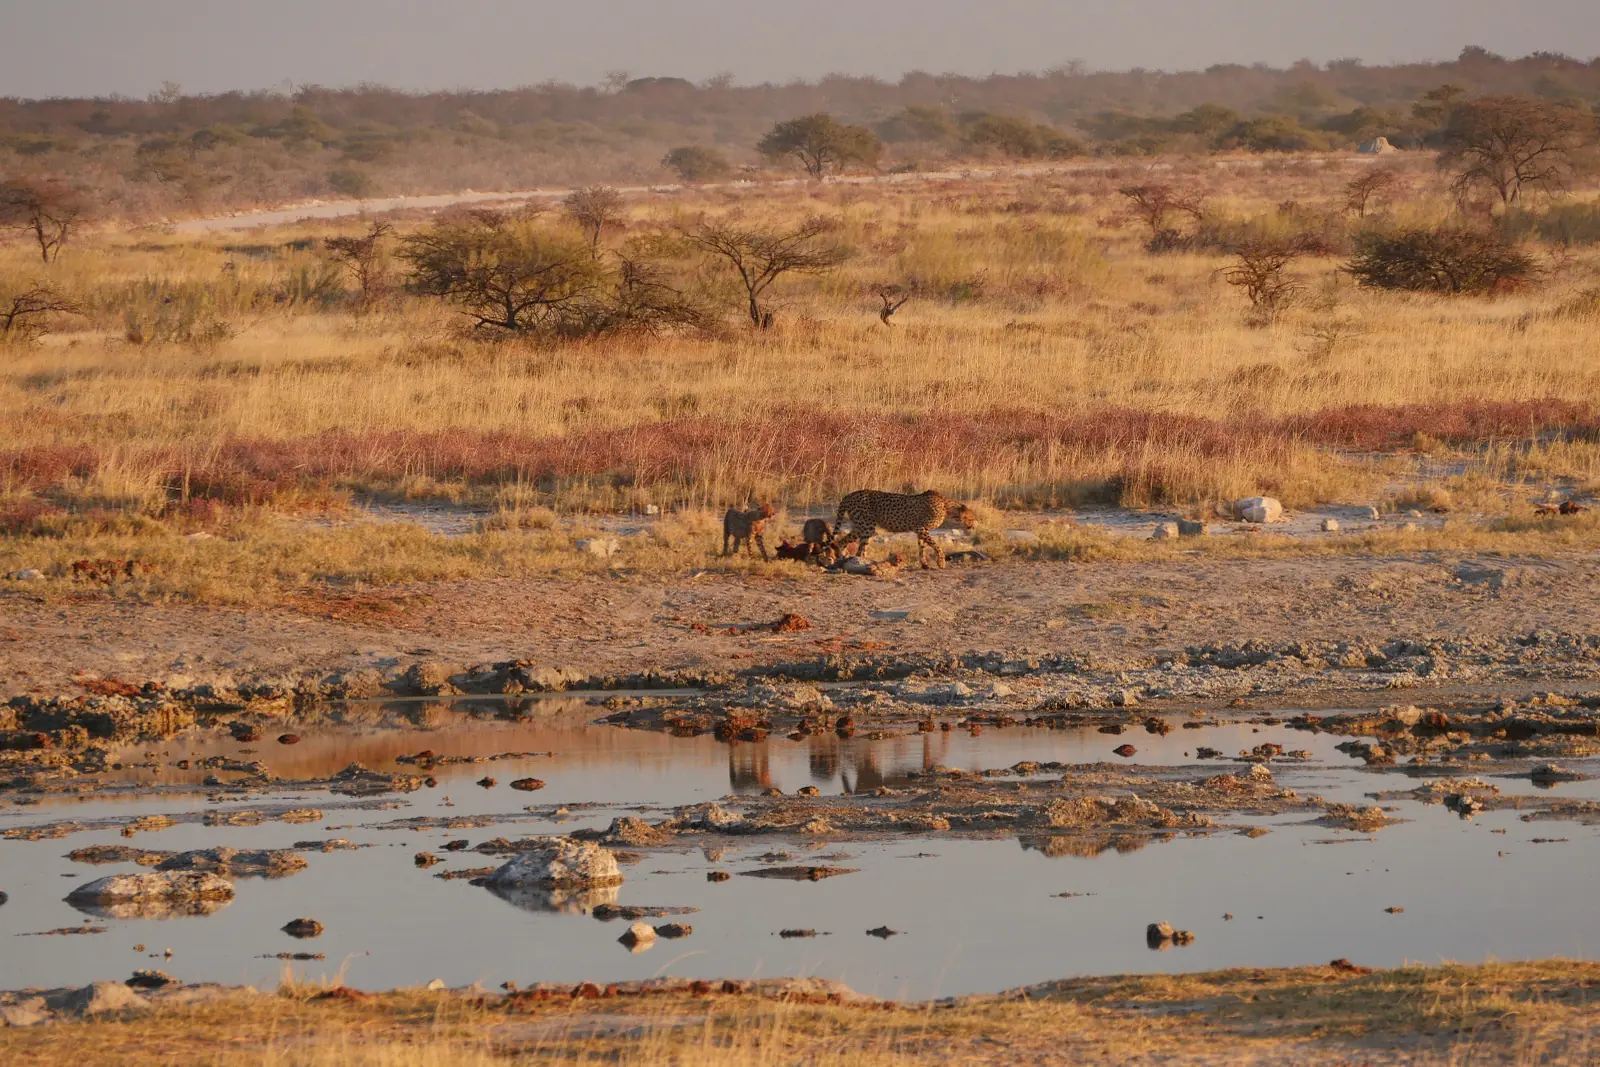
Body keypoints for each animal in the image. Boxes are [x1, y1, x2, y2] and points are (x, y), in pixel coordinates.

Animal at [833, 489, 973, 569]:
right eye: (970, 518)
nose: (972, 526)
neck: (946, 506)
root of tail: (849, 495)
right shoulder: (921, 528)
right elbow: (937, 546)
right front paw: (941, 562)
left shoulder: (920, 530)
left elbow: (922, 547)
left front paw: (925, 565)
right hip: (867, 526)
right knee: (854, 547)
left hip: (861, 526)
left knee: (845, 542)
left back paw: (850, 559)